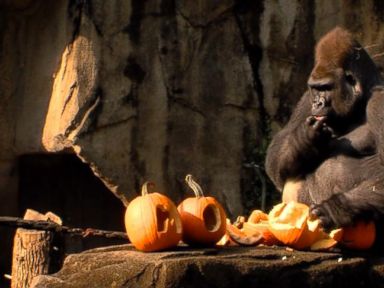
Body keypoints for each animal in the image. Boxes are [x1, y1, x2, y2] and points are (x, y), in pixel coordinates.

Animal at [266, 27, 384, 232]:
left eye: (326, 87)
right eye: (315, 88)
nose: (318, 103)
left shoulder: (380, 101)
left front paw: (335, 209)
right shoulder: (306, 98)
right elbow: (275, 158)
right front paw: (304, 138)